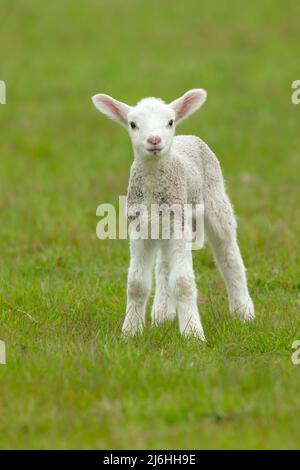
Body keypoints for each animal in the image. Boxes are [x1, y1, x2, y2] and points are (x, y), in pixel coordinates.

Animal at [92, 88, 255, 340]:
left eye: (170, 121)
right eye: (133, 124)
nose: (154, 140)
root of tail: (186, 137)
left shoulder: (179, 226)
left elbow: (183, 283)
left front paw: (192, 334)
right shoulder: (139, 229)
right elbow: (136, 284)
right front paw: (130, 332)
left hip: (215, 202)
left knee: (229, 255)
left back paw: (244, 312)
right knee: (163, 265)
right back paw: (162, 314)